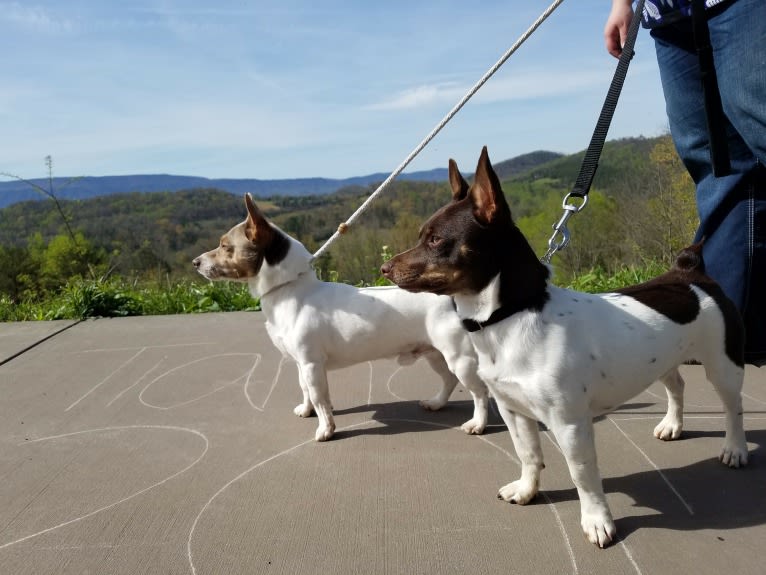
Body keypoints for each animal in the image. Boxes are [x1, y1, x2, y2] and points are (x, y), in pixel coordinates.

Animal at [194, 194, 492, 440]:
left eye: (224, 246)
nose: (195, 262)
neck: (291, 288)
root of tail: (453, 296)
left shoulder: (312, 365)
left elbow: (319, 397)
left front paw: (325, 429)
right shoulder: (302, 364)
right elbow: (306, 390)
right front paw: (307, 410)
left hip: (459, 358)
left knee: (479, 392)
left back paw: (477, 423)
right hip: (435, 354)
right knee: (449, 380)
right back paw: (436, 402)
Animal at [384, 146, 752, 548]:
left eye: (435, 240)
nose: (385, 268)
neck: (513, 315)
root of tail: (690, 272)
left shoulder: (570, 424)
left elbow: (582, 475)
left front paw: (596, 520)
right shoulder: (514, 411)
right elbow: (528, 454)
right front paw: (527, 490)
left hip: (723, 365)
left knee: (733, 407)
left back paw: (735, 448)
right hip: (663, 360)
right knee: (677, 386)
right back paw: (672, 425)